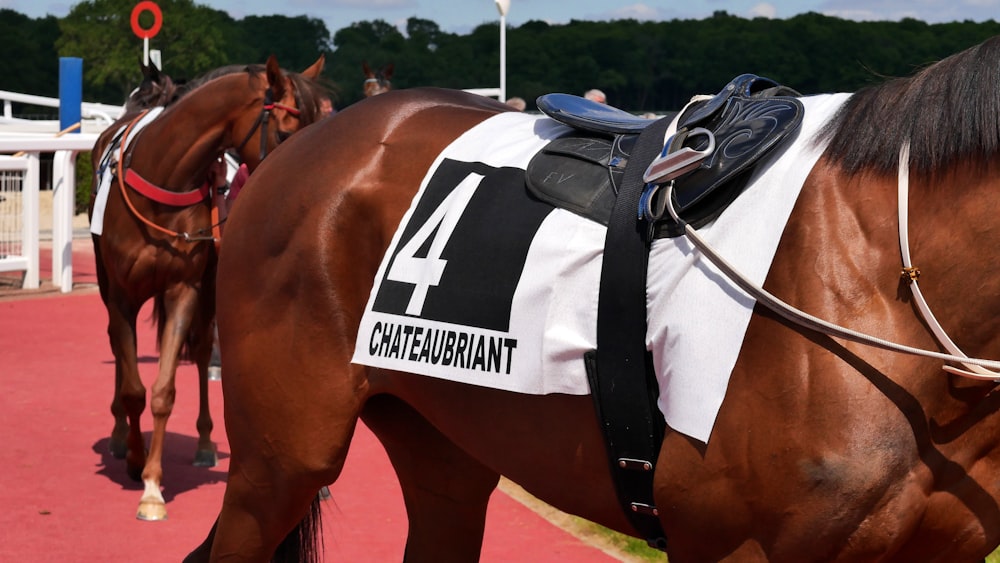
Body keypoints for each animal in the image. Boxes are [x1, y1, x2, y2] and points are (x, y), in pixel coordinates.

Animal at [89, 55, 324, 524]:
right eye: (285, 133)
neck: (163, 179)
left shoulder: (184, 288)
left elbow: (163, 391)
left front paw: (152, 486)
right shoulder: (122, 295)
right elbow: (132, 387)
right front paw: (135, 459)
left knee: (199, 355)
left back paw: (202, 444)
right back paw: (120, 436)